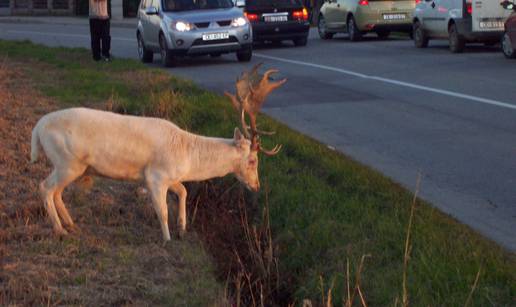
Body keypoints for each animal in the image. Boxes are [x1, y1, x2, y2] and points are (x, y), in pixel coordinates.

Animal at [29, 65, 286, 242]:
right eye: (253, 160)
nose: (256, 186)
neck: (187, 156)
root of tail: (37, 129)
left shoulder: (169, 177)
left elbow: (183, 191)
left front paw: (182, 228)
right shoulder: (155, 176)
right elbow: (161, 210)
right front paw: (167, 237)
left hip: (71, 166)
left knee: (57, 192)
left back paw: (71, 224)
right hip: (67, 162)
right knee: (45, 187)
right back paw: (60, 230)